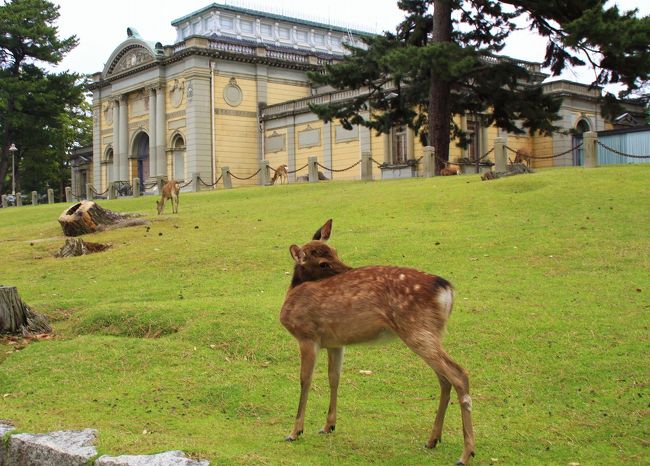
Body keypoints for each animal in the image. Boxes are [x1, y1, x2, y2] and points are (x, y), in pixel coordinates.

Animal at [279, 219, 475, 465]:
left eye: (335, 251)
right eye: (323, 262)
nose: (350, 272)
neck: (291, 293)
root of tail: (446, 290)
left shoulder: (307, 335)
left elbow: (305, 380)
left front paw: (294, 432)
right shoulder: (335, 342)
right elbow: (334, 377)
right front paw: (328, 426)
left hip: (418, 330)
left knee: (459, 374)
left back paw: (465, 453)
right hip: (430, 333)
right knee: (444, 379)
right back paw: (432, 440)